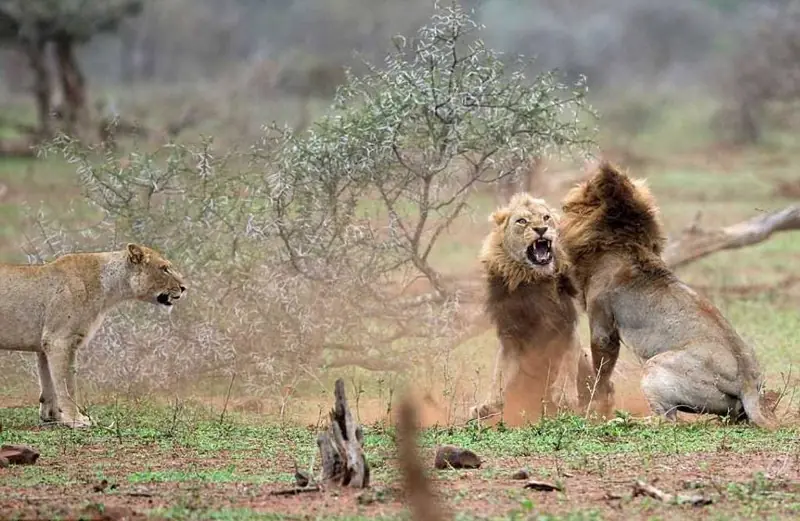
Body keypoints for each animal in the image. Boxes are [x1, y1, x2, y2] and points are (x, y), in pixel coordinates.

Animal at [0, 243, 187, 428]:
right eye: (164, 269)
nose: (184, 287)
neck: (110, 287)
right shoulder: (59, 341)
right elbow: (67, 385)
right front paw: (75, 420)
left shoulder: (45, 345)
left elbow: (49, 383)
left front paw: (52, 417)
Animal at [470, 193, 592, 421]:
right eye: (522, 221)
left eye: (546, 218)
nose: (541, 229)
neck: (533, 278)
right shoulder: (510, 335)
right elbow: (499, 373)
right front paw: (487, 406)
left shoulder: (567, 324)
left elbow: (568, 360)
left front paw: (565, 395)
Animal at [559, 161, 778, 429]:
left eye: (585, 183)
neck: (622, 241)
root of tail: (747, 383)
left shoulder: (603, 325)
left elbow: (601, 370)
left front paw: (595, 406)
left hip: (655, 367)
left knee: (668, 420)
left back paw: (625, 422)